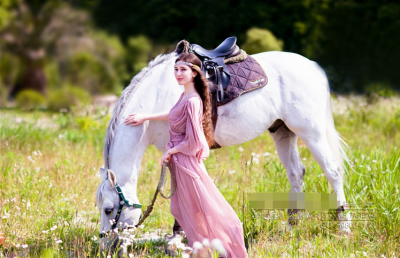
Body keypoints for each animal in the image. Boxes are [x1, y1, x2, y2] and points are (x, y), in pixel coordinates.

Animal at [95, 50, 352, 250]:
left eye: (108, 209)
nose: (106, 246)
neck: (157, 95)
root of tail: (313, 67)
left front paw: (179, 238)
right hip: (283, 131)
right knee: (296, 173)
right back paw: (291, 227)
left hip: (311, 132)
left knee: (333, 172)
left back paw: (344, 227)